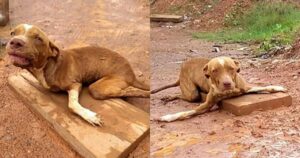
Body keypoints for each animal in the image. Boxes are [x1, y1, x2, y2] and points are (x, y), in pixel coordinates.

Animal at [5, 23, 149, 126]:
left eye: (38, 38)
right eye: (13, 33)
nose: (15, 42)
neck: (47, 66)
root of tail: (131, 73)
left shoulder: (75, 84)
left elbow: (72, 105)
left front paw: (90, 116)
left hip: (97, 88)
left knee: (130, 90)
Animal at [151, 56, 288, 122]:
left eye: (231, 68)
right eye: (214, 71)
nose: (227, 83)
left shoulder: (244, 88)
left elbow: (265, 87)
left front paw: (278, 87)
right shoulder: (206, 105)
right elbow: (184, 113)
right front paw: (167, 117)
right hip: (192, 93)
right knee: (184, 95)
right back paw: (169, 97)